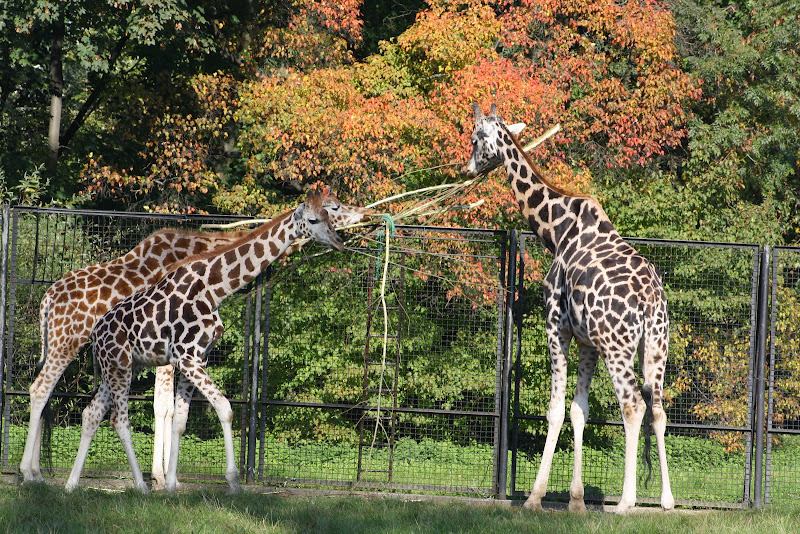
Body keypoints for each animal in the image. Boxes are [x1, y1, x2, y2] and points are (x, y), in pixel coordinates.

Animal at [22, 195, 372, 488]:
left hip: (113, 364)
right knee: (61, 397)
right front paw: (218, 480)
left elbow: (179, 417)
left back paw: (66, 483)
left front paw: (171, 483)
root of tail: (46, 299)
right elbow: (206, 408)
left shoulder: (190, 357)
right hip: (80, 347)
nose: (343, 237)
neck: (214, 285)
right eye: (327, 211)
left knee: (88, 411)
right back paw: (38, 474)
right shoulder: (183, 356)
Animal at [464, 104, 673, 513]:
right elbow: (580, 410)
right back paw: (667, 500)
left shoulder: (556, 326)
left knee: (632, 406)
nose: (467, 169)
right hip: (656, 347)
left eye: (476, 138)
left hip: (617, 347)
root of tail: (648, 301)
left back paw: (625, 503)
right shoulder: (586, 341)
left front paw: (535, 497)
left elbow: (557, 408)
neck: (555, 231)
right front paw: (576, 501)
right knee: (657, 409)